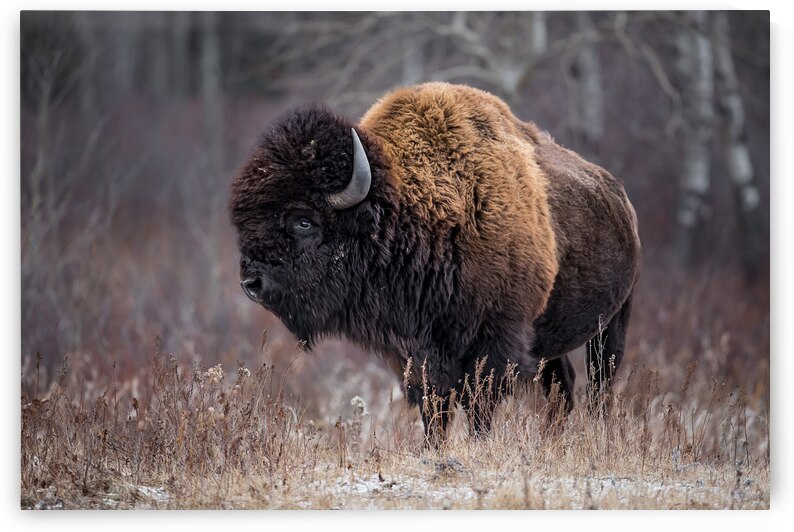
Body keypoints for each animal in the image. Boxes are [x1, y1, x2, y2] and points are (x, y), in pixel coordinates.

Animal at [229, 82, 641, 439]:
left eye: (304, 220)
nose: (251, 283)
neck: (414, 210)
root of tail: (621, 197)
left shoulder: (495, 341)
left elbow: (479, 404)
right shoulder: (417, 353)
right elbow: (435, 407)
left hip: (612, 323)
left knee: (599, 384)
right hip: (549, 340)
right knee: (562, 387)